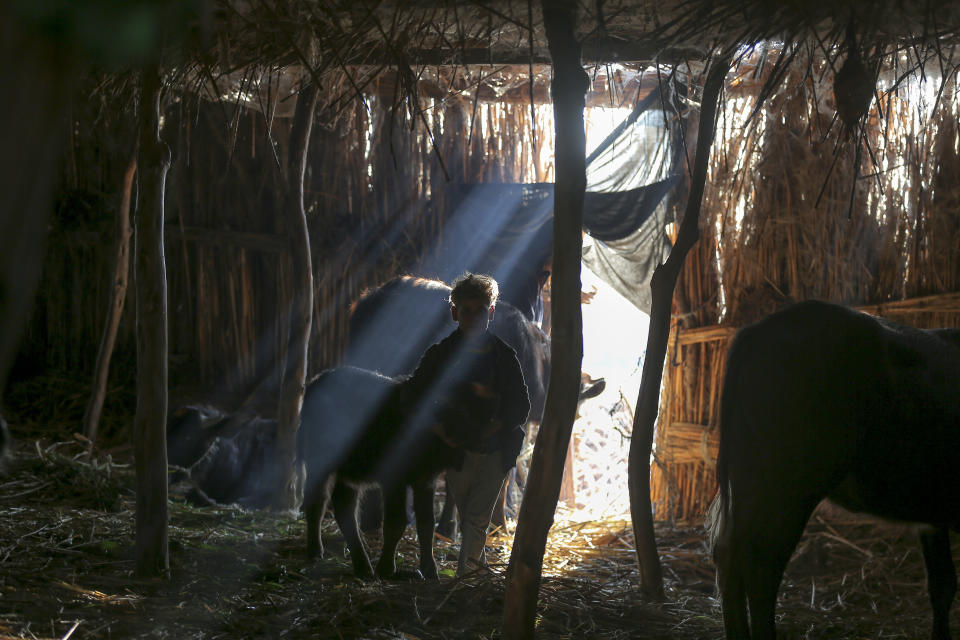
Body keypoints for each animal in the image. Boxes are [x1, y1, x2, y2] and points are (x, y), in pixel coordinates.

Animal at [708, 302, 956, 640]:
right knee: (761, 564)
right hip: (788, 489)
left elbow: (942, 586)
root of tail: (759, 329)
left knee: (729, 557)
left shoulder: (932, 520)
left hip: (750, 481)